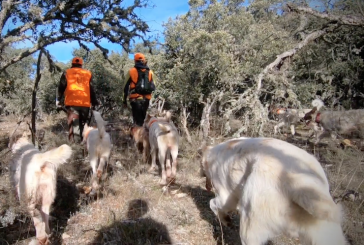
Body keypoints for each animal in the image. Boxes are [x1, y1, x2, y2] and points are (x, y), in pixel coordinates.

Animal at [200, 138, 346, 245]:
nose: (207, 186)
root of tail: (296, 180)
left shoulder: (226, 197)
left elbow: (213, 204)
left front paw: (226, 220)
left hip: (250, 227)